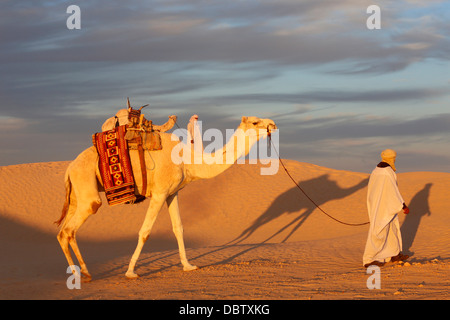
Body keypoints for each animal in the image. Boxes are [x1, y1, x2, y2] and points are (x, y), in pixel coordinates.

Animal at [54, 115, 276, 280]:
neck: (188, 160)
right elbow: (145, 231)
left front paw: (188, 265)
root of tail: (69, 168)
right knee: (68, 229)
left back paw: (83, 272)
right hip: (87, 187)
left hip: (77, 193)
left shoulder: (172, 193)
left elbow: (178, 228)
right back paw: (80, 274)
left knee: (64, 231)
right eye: (255, 122)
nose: (272, 124)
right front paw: (131, 272)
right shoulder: (159, 193)